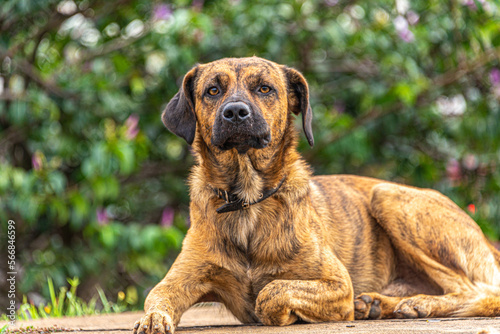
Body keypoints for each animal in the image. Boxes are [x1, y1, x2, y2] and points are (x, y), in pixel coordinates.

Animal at [133, 57, 500, 334]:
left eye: (265, 88)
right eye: (212, 90)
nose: (235, 112)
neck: (248, 199)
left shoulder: (337, 284)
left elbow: (271, 292)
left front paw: (282, 312)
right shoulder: (180, 280)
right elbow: (156, 298)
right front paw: (152, 320)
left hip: (387, 196)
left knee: (478, 291)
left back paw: (419, 304)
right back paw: (381, 304)